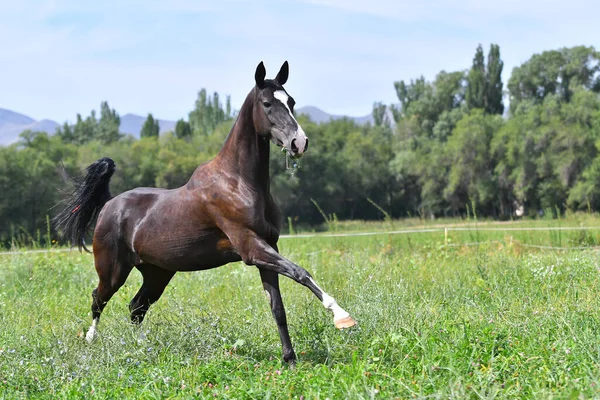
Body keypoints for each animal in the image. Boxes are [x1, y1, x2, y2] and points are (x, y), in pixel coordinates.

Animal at [52, 61, 356, 364]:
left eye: (291, 101)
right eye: (267, 103)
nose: (299, 142)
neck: (238, 183)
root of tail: (110, 204)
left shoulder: (267, 249)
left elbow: (278, 307)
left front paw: (290, 360)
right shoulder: (251, 248)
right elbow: (300, 273)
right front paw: (342, 317)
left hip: (157, 273)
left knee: (136, 307)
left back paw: (141, 349)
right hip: (113, 270)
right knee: (99, 299)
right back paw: (91, 342)